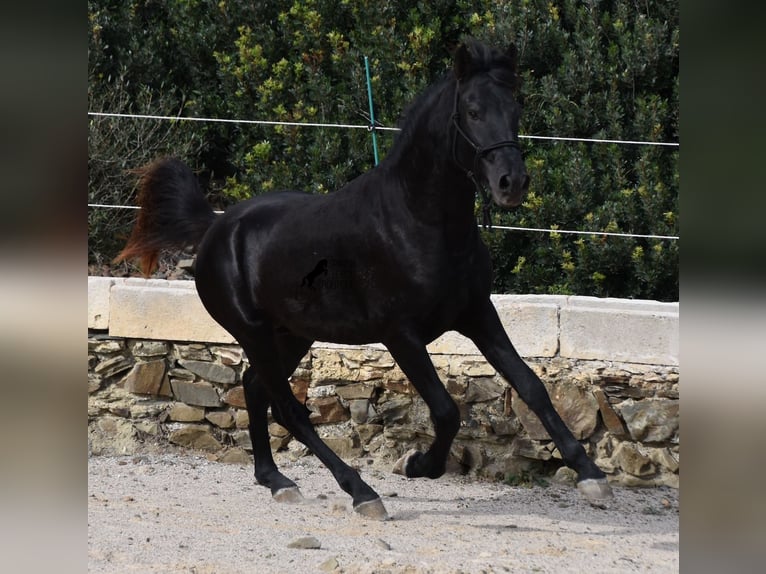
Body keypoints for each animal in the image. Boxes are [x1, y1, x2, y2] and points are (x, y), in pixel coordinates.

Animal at [117, 38, 616, 520]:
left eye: (515, 109)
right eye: (473, 111)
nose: (511, 183)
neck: (418, 222)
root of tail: (217, 226)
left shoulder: (477, 314)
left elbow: (532, 386)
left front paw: (591, 475)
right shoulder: (401, 334)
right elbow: (446, 410)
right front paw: (418, 465)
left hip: (292, 333)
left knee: (255, 388)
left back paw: (276, 481)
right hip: (253, 331)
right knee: (288, 408)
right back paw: (361, 492)